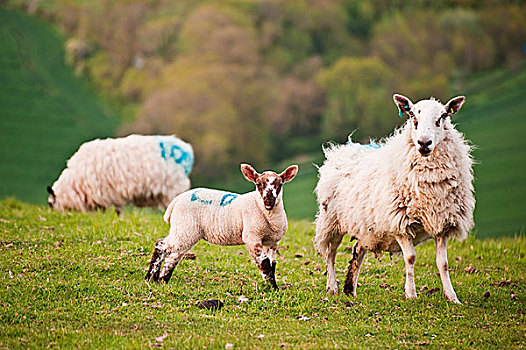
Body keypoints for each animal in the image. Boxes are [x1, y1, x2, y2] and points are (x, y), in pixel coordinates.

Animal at [47, 135, 194, 213]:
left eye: (50, 204)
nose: (54, 214)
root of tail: (186, 149)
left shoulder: (109, 191)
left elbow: (118, 210)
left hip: (174, 188)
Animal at [146, 164, 300, 290]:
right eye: (258, 183)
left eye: (279, 184)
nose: (268, 201)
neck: (264, 210)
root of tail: (176, 201)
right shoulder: (252, 237)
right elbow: (265, 263)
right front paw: (273, 289)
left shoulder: (272, 242)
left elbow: (272, 264)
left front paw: (272, 286)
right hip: (185, 227)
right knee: (160, 244)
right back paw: (150, 278)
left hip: (186, 232)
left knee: (173, 256)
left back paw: (162, 280)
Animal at [316, 93, 476, 304]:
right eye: (413, 117)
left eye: (442, 117)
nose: (424, 143)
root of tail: (342, 149)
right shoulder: (399, 221)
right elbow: (410, 258)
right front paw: (411, 294)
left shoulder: (442, 222)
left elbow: (443, 263)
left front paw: (452, 297)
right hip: (331, 221)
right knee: (330, 254)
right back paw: (332, 287)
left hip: (366, 226)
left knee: (358, 249)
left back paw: (350, 289)